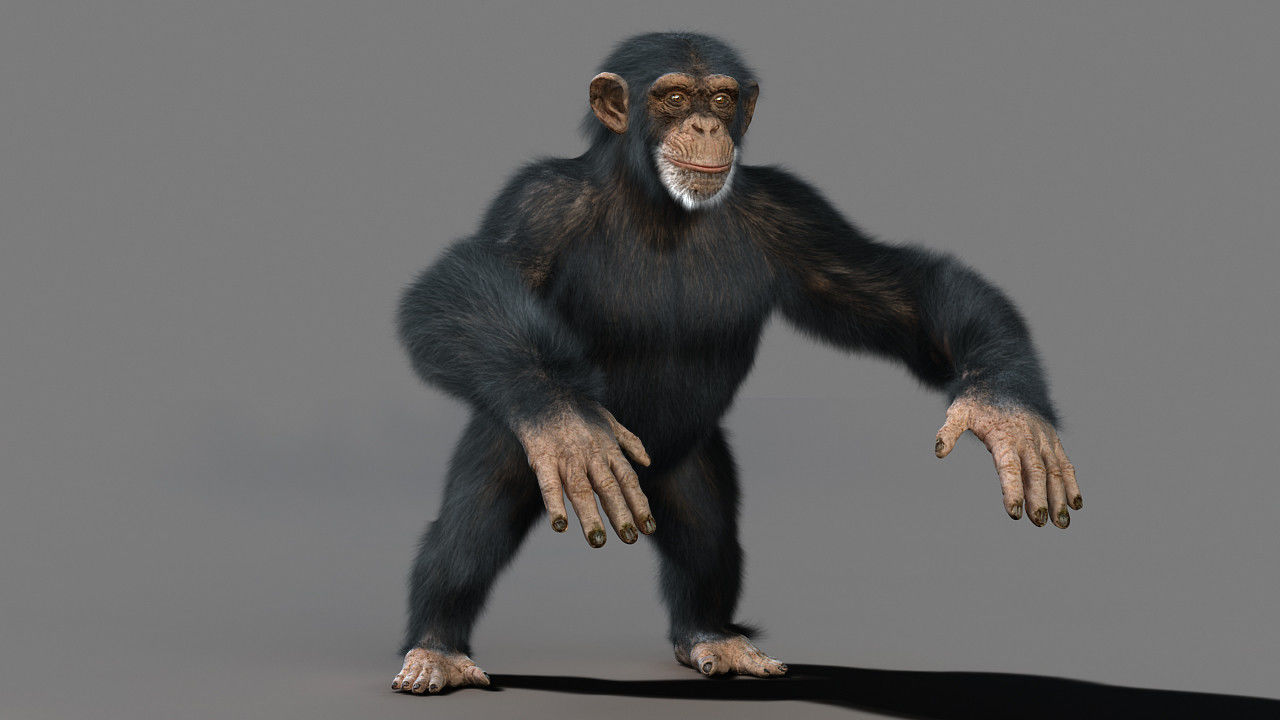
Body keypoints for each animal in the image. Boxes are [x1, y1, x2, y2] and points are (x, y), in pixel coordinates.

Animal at [390, 31, 1081, 695]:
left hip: (686, 464)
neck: (658, 206)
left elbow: (896, 292)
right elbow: (450, 290)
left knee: (707, 534)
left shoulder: (793, 212)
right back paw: (437, 645)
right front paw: (568, 423)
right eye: (673, 98)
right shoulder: (538, 205)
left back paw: (711, 632)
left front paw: (1006, 411)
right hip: (517, 440)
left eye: (721, 99)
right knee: (474, 522)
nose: (704, 126)